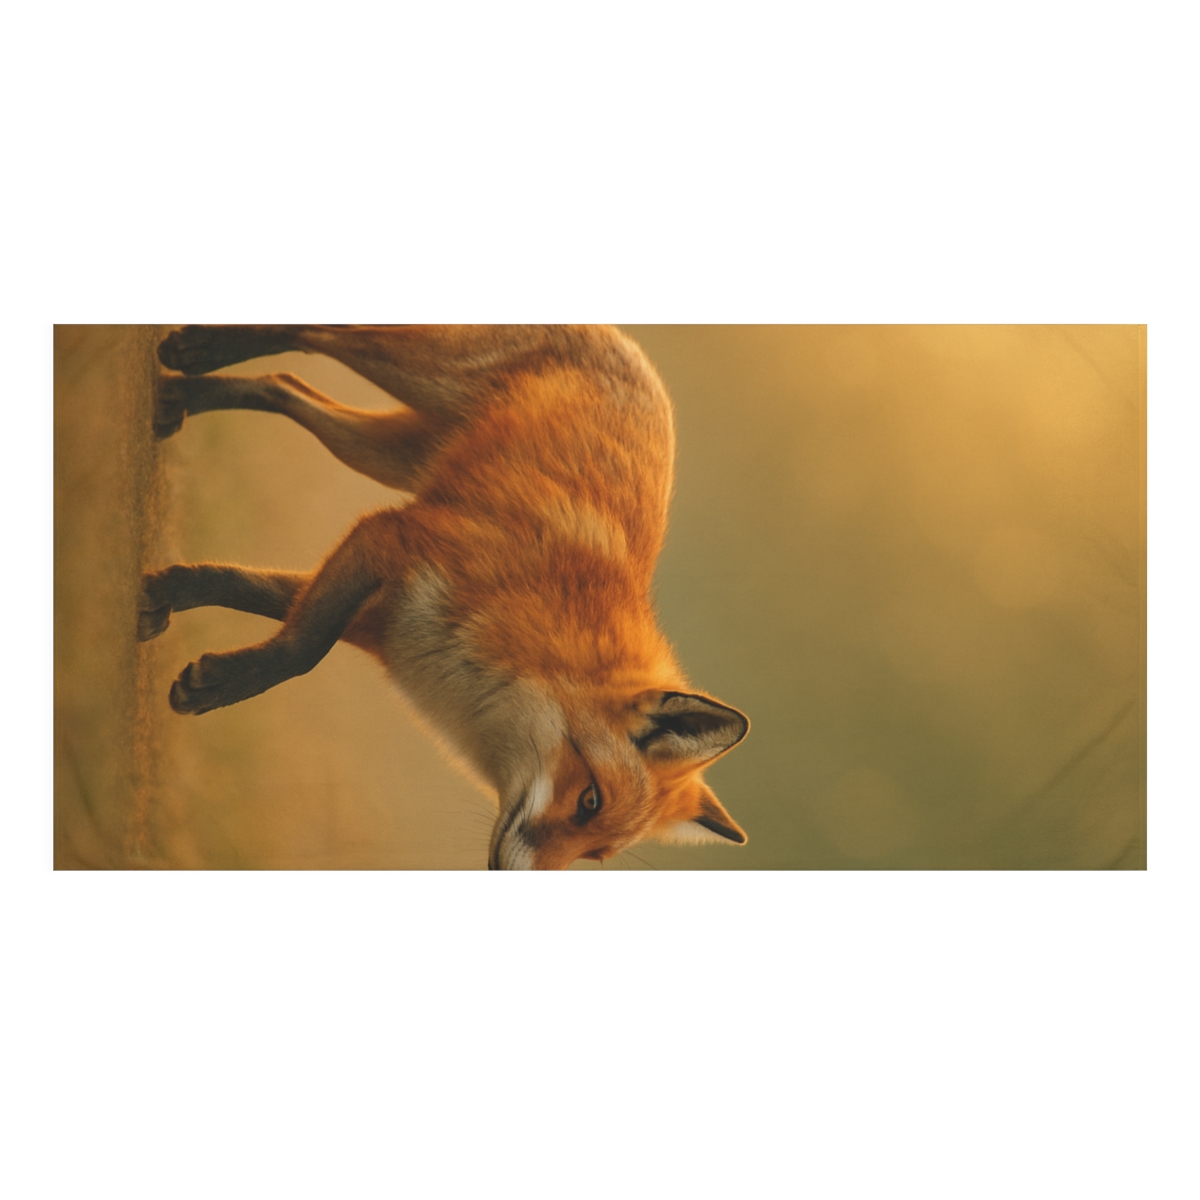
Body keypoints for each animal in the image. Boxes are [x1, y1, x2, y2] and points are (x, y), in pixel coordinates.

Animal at [140, 325, 749, 869]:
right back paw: (201, 348)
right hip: (408, 370)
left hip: (378, 450)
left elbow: (242, 588)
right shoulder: (393, 539)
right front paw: (214, 682)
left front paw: (164, 594)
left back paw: (179, 399)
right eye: (589, 800)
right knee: (315, 332)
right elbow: (300, 652)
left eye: (596, 854)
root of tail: (635, 350)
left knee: (284, 385)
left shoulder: (376, 614)